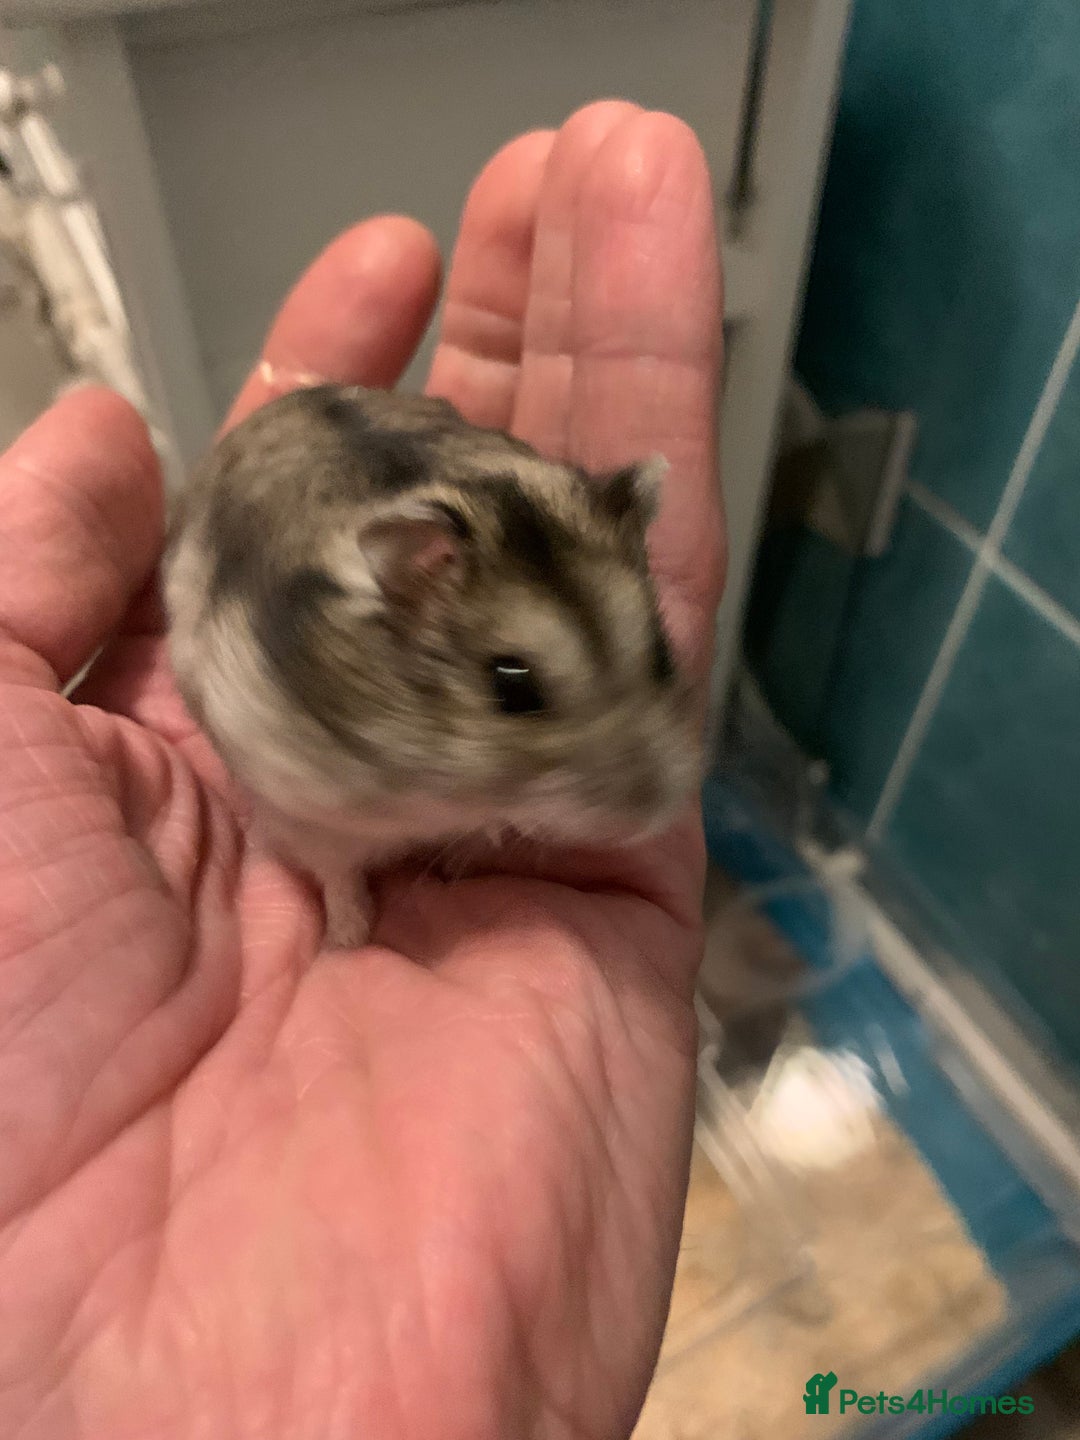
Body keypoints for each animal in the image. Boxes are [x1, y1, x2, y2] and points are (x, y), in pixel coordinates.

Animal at [164, 384, 700, 947]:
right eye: (512, 687)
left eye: (662, 655)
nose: (647, 820)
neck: (428, 785)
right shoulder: (307, 813)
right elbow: (339, 875)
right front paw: (350, 939)